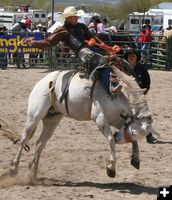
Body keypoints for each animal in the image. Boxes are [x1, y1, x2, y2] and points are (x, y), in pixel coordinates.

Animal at [10, 66, 153, 180]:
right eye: (133, 131)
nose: (118, 137)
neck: (121, 93)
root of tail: (45, 81)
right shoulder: (100, 118)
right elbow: (110, 140)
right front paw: (111, 168)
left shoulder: (116, 119)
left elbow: (132, 141)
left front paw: (135, 159)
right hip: (34, 116)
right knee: (24, 139)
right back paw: (14, 168)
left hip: (52, 119)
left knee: (40, 143)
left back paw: (33, 171)